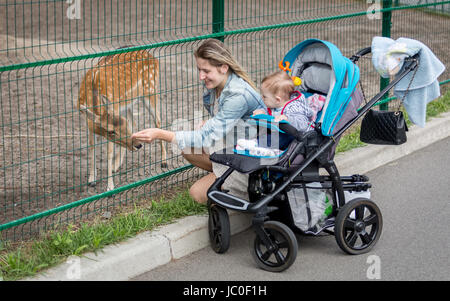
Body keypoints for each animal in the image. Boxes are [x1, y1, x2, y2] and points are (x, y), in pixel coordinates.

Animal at [77, 49, 167, 190]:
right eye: (111, 131)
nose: (138, 145)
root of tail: (153, 57)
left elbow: (109, 152)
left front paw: (110, 186)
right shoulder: (88, 121)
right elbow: (91, 146)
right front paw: (92, 179)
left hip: (151, 89)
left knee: (157, 120)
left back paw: (164, 162)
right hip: (127, 103)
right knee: (134, 121)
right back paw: (116, 165)